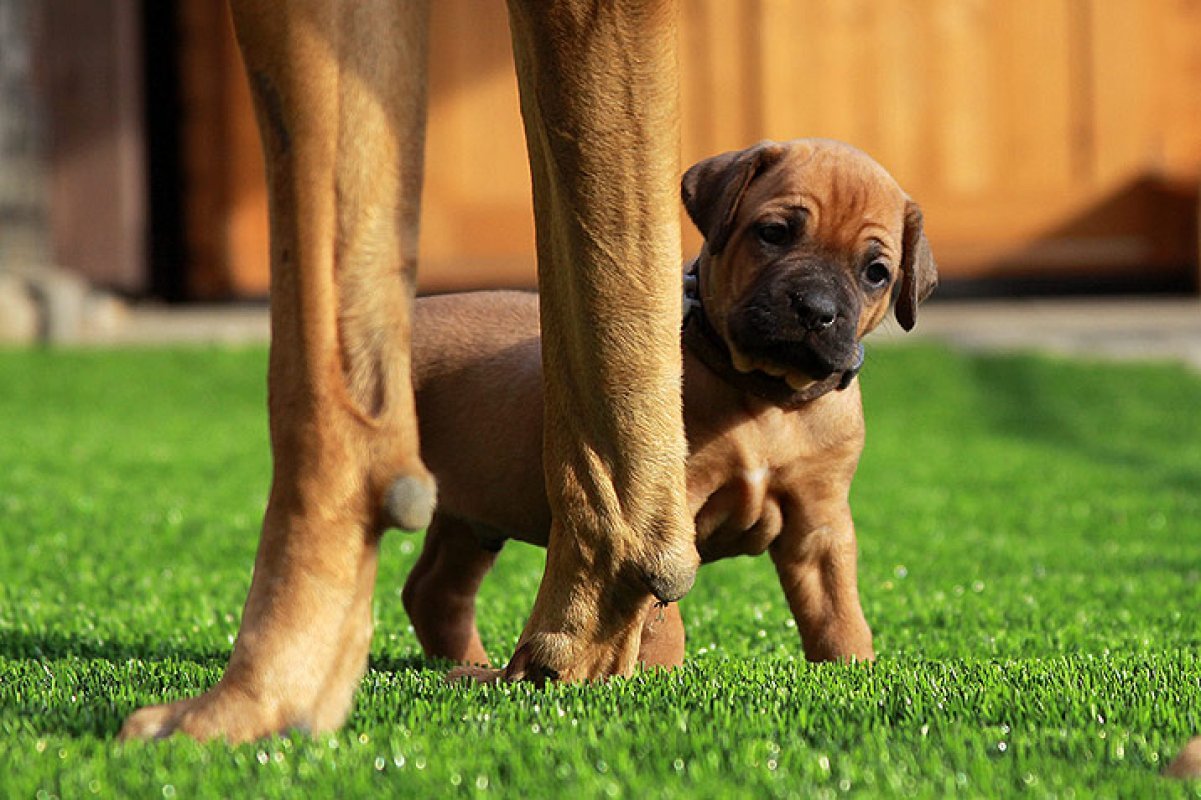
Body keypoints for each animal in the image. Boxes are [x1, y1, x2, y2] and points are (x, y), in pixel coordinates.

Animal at [403, 138, 936, 667]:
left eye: (876, 273)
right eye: (774, 233)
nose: (816, 310)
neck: (765, 396)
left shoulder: (819, 520)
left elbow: (837, 611)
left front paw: (852, 668)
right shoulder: (668, 508)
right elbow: (660, 617)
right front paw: (657, 673)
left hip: (471, 517)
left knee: (434, 590)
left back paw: (469, 668)